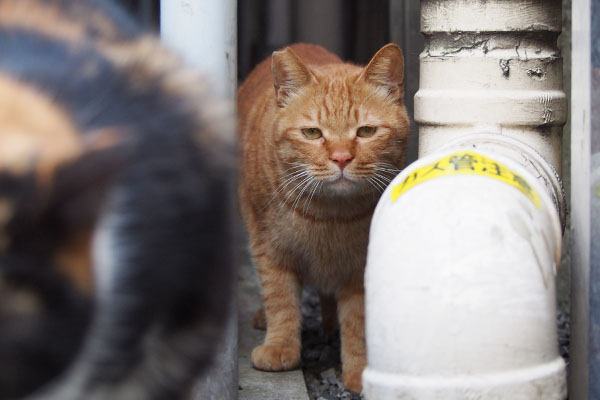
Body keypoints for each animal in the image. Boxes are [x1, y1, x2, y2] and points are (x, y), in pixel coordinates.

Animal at [237, 43, 410, 390]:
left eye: (366, 131)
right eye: (312, 133)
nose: (341, 158)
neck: (329, 215)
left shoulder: (359, 264)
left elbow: (358, 319)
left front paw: (359, 372)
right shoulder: (268, 248)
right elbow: (280, 299)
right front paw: (280, 348)